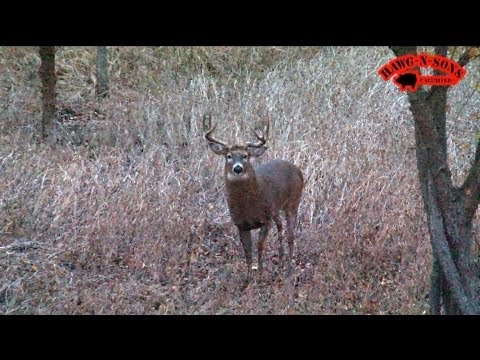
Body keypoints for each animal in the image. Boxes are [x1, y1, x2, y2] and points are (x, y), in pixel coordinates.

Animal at [203, 116, 304, 280]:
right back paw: (280, 264)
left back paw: (288, 270)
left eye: (245, 156)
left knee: (291, 235)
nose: (238, 168)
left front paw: (260, 273)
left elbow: (260, 245)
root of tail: (297, 169)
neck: (248, 206)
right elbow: (247, 250)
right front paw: (249, 276)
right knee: (281, 229)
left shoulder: (265, 220)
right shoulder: (240, 224)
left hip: (293, 203)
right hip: (275, 210)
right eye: (229, 156)